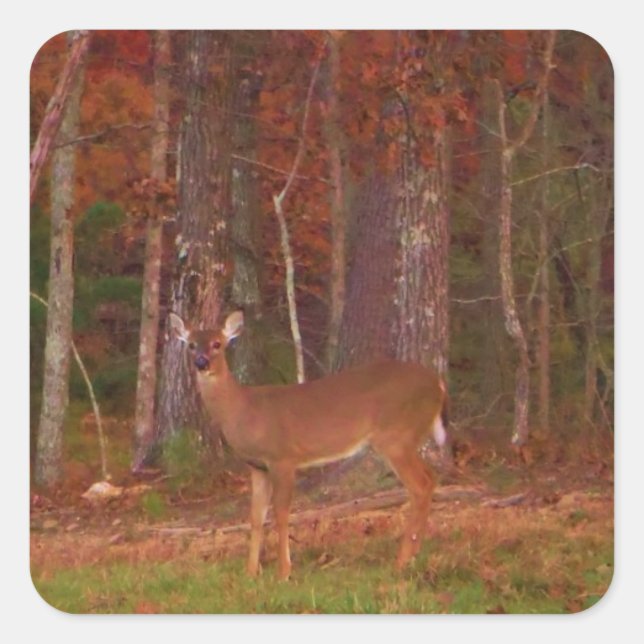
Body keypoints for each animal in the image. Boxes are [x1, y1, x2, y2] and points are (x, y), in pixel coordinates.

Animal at [169, 310, 449, 580]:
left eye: (217, 343)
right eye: (191, 344)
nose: (201, 362)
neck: (243, 410)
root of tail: (439, 383)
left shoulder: (282, 457)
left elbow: (282, 514)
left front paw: (284, 572)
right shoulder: (257, 466)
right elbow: (256, 517)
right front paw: (250, 573)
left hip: (395, 436)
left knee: (420, 485)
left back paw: (401, 562)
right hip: (404, 438)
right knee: (431, 477)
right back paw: (413, 555)